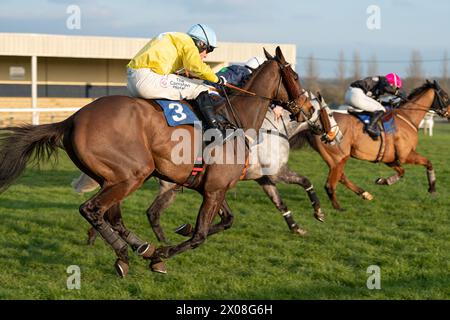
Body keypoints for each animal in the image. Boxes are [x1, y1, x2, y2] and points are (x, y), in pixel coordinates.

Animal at [0, 46, 312, 276]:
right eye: (295, 76)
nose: (307, 109)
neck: (235, 119)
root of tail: (71, 120)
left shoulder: (213, 187)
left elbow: (226, 221)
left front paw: (172, 238)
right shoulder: (214, 189)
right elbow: (200, 236)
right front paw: (163, 253)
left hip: (113, 178)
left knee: (111, 216)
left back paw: (138, 249)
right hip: (132, 174)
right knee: (93, 210)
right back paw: (130, 253)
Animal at [294, 80, 448, 210]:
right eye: (446, 97)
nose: (449, 113)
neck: (407, 118)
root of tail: (314, 125)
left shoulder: (389, 158)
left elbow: (401, 171)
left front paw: (383, 181)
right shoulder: (406, 155)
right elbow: (428, 163)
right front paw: (433, 189)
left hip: (334, 158)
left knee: (340, 177)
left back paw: (364, 194)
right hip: (339, 156)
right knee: (331, 183)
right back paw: (338, 207)